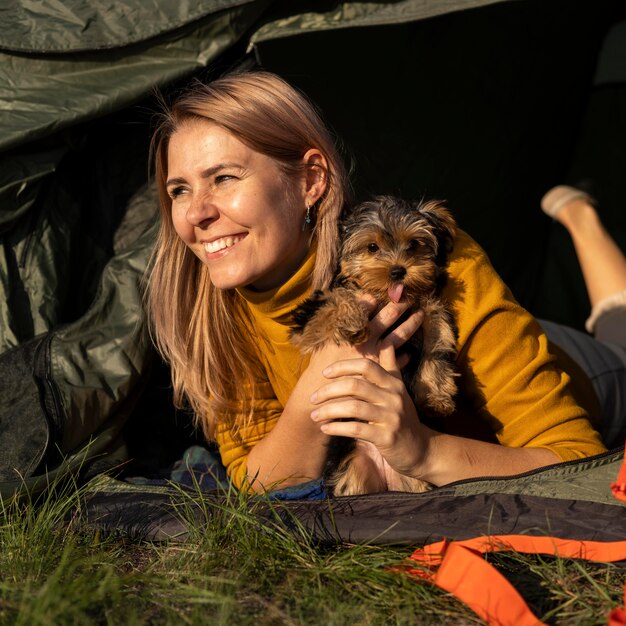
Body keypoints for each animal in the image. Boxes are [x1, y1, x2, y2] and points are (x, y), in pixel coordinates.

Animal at [290, 193, 456, 494]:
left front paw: (435, 397)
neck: (385, 298)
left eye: (414, 244)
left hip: (411, 479)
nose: (398, 271)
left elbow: (437, 346)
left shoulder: (430, 309)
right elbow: (339, 298)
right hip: (353, 471)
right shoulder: (311, 314)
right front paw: (352, 321)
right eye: (372, 247)